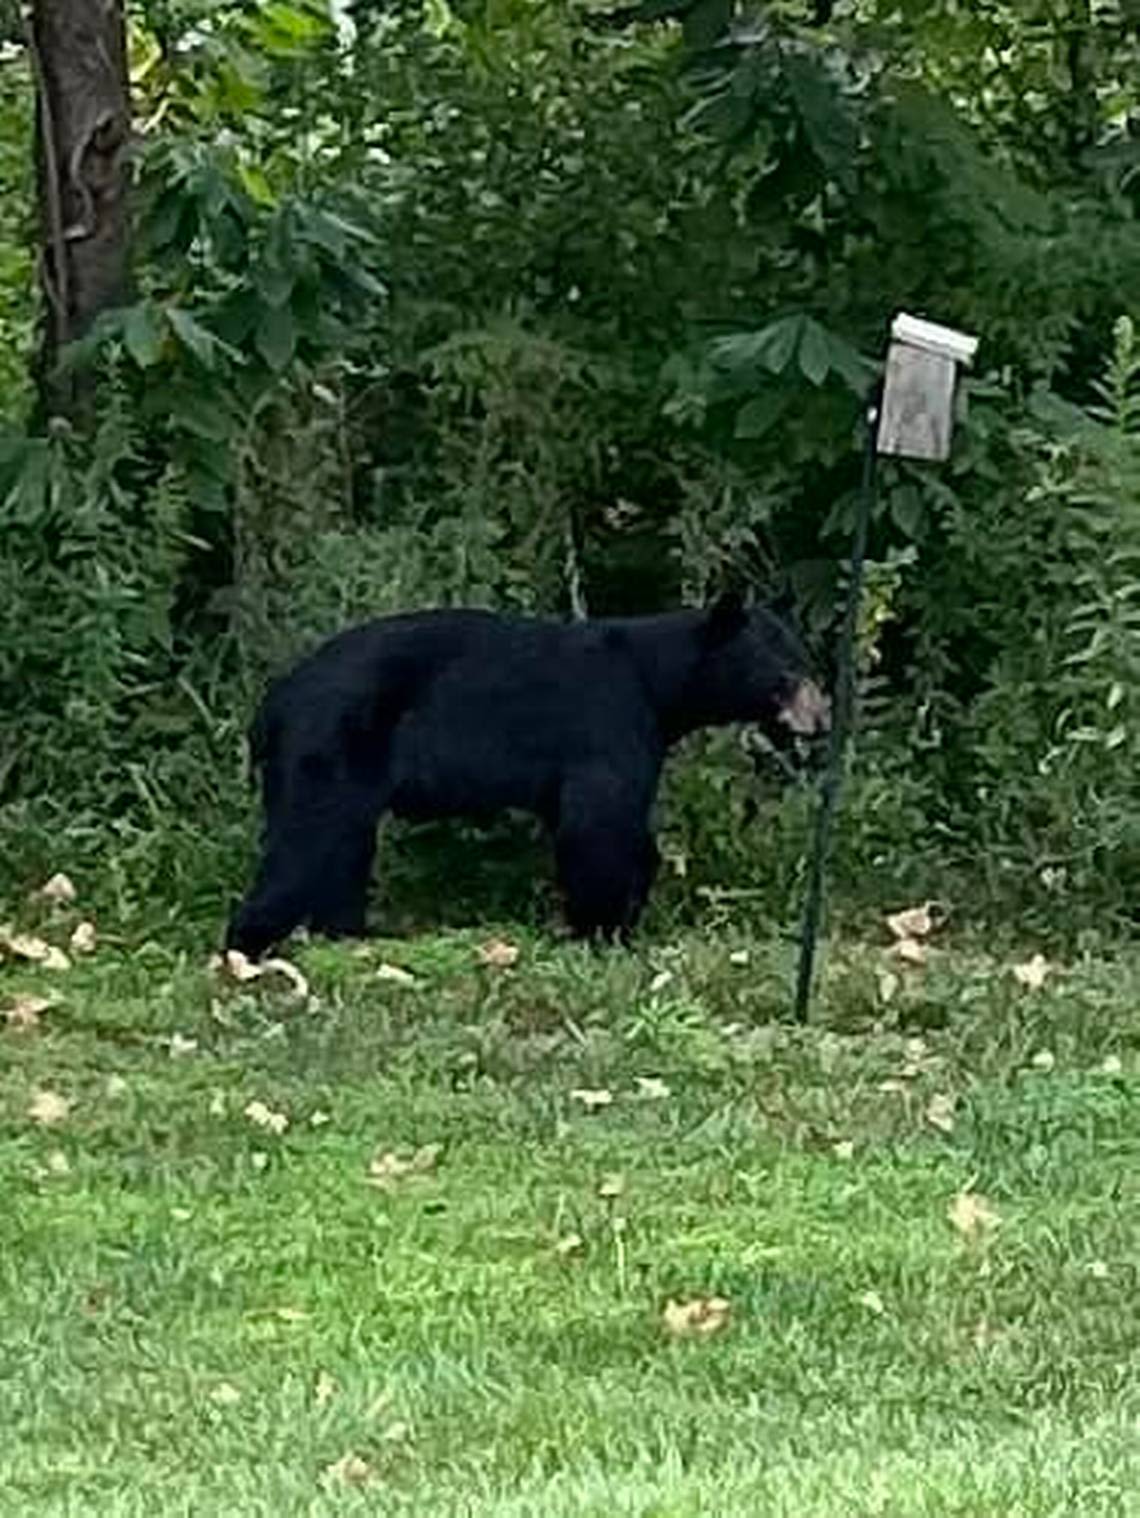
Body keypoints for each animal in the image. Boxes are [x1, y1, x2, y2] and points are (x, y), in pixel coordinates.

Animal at [223, 595, 831, 959]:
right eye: (787, 669)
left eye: (803, 660)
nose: (823, 716)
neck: (658, 681)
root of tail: (272, 705)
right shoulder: (607, 721)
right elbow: (599, 825)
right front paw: (600, 930)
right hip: (330, 748)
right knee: (306, 844)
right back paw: (248, 949)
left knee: (343, 850)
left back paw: (349, 936)